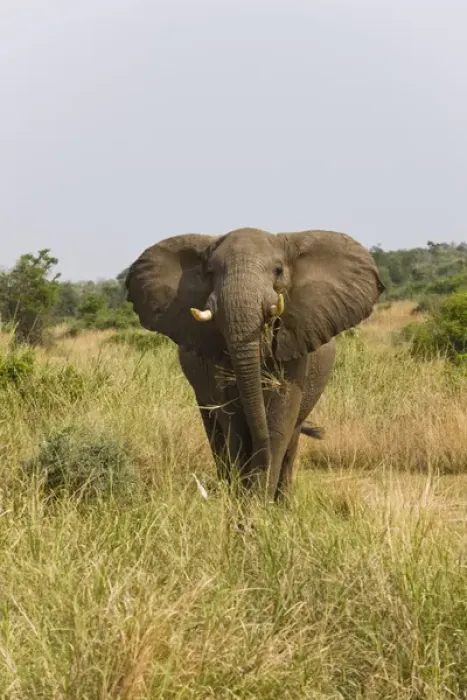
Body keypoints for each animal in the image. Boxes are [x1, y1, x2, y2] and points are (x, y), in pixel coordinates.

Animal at [125, 227, 384, 501]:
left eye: (278, 270)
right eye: (210, 273)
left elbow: (279, 420)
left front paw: (259, 504)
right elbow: (235, 423)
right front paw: (244, 502)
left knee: (292, 437)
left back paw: (281, 501)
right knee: (215, 431)